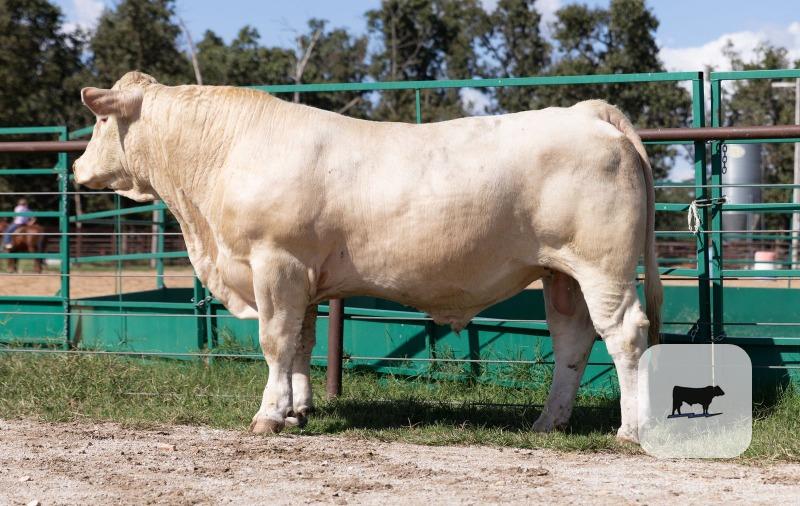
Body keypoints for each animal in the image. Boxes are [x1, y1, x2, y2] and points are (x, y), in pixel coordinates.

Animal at [73, 71, 662, 443]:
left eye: (100, 122)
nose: (77, 168)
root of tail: (586, 112)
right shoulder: (305, 276)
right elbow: (301, 343)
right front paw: (298, 411)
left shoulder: (276, 262)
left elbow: (275, 340)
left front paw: (269, 416)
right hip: (560, 273)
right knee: (573, 340)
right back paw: (549, 422)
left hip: (603, 267)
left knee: (625, 334)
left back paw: (630, 429)